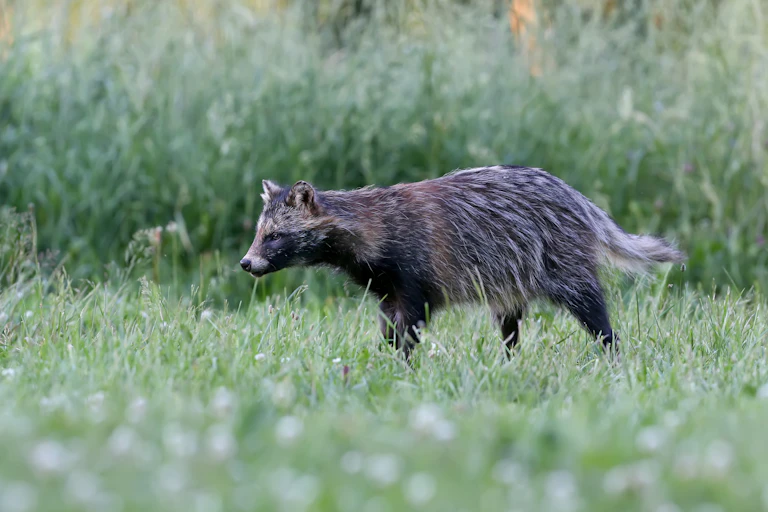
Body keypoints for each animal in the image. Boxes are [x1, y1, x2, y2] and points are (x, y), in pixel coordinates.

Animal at [240, 166, 685, 359]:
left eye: (275, 236)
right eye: (259, 233)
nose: (247, 263)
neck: (371, 222)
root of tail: (579, 200)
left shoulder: (414, 267)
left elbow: (412, 321)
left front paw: (403, 364)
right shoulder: (384, 282)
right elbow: (388, 323)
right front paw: (386, 356)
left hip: (559, 257)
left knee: (590, 307)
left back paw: (610, 350)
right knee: (509, 322)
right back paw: (509, 359)